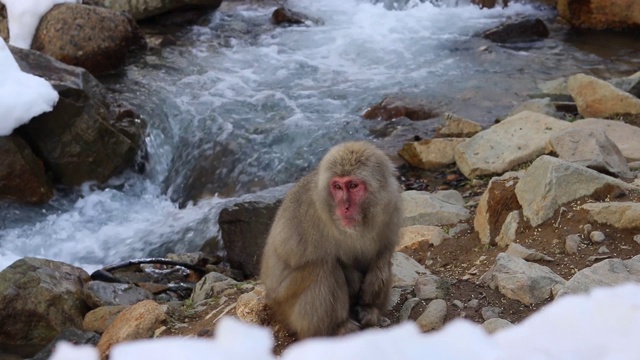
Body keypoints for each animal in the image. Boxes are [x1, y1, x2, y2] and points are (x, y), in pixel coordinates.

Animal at [258, 141, 400, 338]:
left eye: (353, 185)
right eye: (337, 187)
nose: (345, 207)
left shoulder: (391, 203)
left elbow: (386, 248)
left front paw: (375, 276)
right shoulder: (309, 211)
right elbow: (295, 255)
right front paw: (352, 277)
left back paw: (369, 310)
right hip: (286, 306)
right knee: (323, 267)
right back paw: (338, 327)